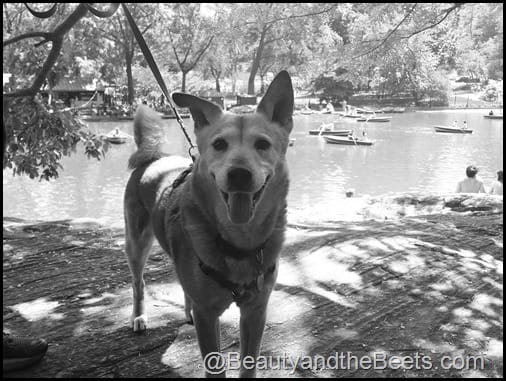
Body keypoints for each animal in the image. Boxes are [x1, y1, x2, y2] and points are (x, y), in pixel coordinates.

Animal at [124, 70, 294, 376]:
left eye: (262, 144)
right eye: (219, 144)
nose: (239, 174)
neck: (239, 243)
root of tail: (154, 157)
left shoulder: (255, 312)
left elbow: (249, 364)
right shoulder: (208, 317)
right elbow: (214, 365)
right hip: (136, 243)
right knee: (138, 283)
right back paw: (139, 316)